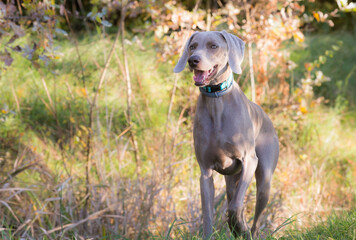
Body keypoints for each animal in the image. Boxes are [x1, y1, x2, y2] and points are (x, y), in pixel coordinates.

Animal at [174, 31, 280, 239]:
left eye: (213, 46)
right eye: (192, 46)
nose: (193, 60)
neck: (216, 101)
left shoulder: (249, 160)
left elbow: (235, 206)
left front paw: (238, 226)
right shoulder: (205, 172)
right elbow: (208, 214)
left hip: (264, 179)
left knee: (255, 218)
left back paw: (246, 230)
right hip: (232, 179)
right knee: (233, 197)